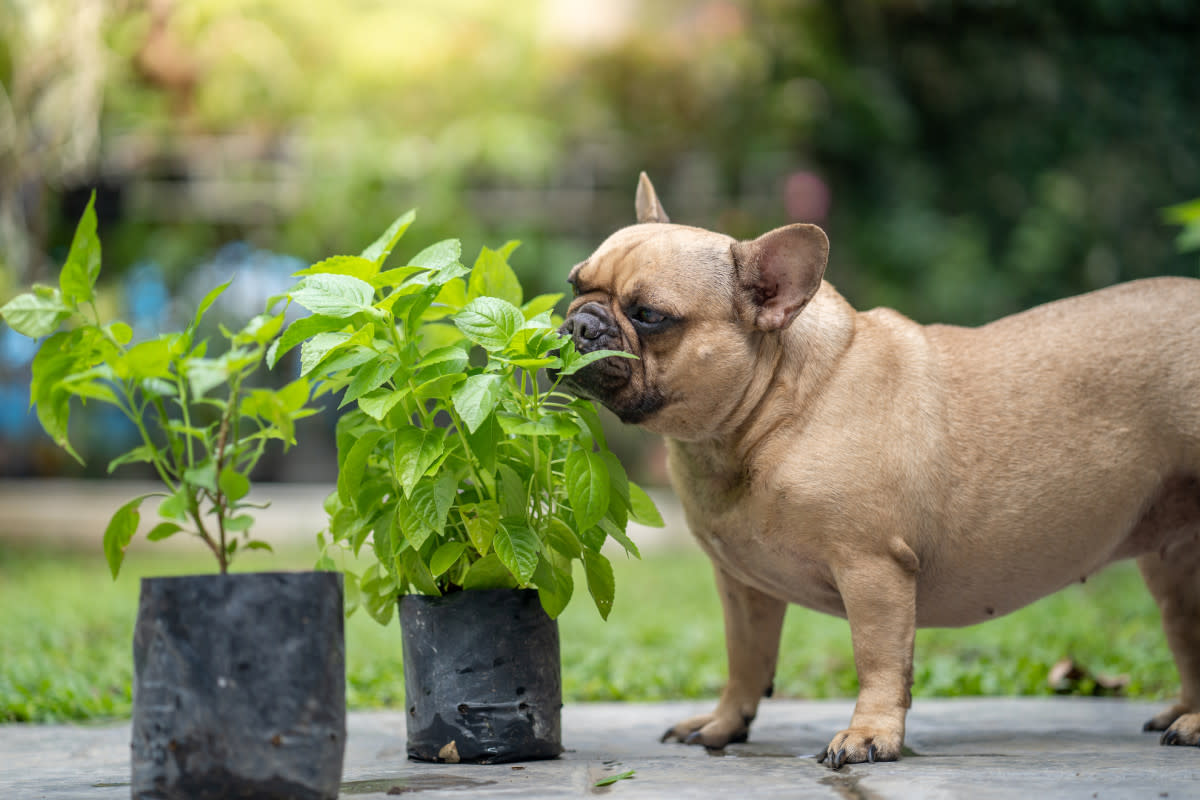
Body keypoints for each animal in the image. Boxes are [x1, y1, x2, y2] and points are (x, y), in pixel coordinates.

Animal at [559, 173, 1200, 767]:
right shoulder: (743, 587)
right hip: (1172, 566)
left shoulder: (871, 568)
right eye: (574, 284)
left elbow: (877, 659)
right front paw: (722, 723)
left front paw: (870, 735)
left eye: (649, 315)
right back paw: (1185, 712)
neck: (768, 413)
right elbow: (745, 659)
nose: (579, 323)